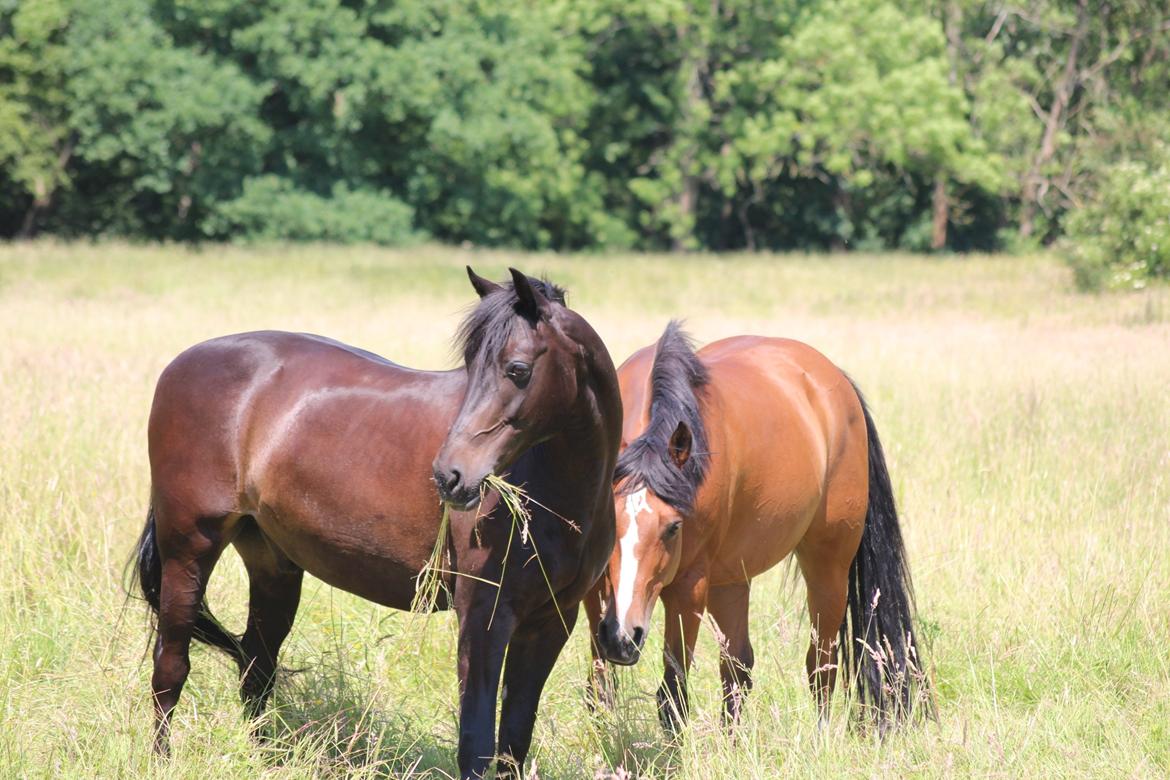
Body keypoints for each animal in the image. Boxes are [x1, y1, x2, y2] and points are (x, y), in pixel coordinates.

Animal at [133, 270, 627, 780]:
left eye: (518, 370)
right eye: (471, 367)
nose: (449, 476)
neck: (558, 494)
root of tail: (183, 362)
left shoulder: (550, 622)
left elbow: (514, 740)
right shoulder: (483, 616)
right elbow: (476, 742)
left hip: (273, 566)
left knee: (257, 666)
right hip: (189, 549)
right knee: (171, 665)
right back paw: (161, 760)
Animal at [589, 322, 926, 734]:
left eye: (673, 528)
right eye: (609, 522)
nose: (624, 636)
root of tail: (836, 381)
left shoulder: (689, 587)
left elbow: (671, 696)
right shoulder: (596, 592)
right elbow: (598, 687)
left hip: (827, 567)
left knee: (820, 663)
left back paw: (820, 736)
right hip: (732, 579)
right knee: (738, 668)